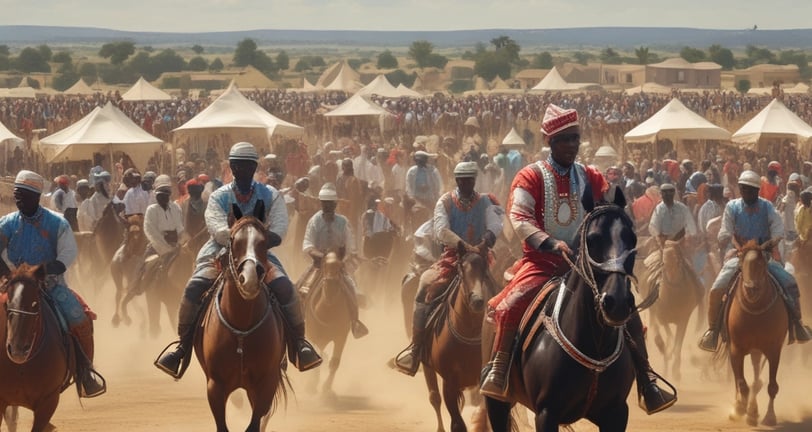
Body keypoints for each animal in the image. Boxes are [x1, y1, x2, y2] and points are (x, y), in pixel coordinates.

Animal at [193, 202, 288, 432]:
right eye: (233, 241)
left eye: (264, 242)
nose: (250, 279)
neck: (241, 329)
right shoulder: (215, 387)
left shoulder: (266, 385)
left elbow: (254, 425)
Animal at [302, 251, 354, 396]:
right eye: (324, 265)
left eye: (340, 265)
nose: (331, 284)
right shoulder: (311, 335)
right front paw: (311, 386)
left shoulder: (341, 337)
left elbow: (335, 362)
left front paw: (327, 388)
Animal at [422, 246, 498, 432]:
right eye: (461, 270)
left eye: (484, 270)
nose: (477, 300)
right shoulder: (449, 383)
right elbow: (457, 424)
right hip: (428, 366)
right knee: (434, 397)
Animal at [724, 238, 788, 426]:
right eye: (740, 260)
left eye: (761, 262)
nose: (750, 288)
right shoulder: (736, 349)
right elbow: (741, 383)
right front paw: (740, 409)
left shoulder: (774, 350)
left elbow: (770, 386)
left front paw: (768, 416)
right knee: (740, 381)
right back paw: (740, 407)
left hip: (757, 351)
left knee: (757, 378)